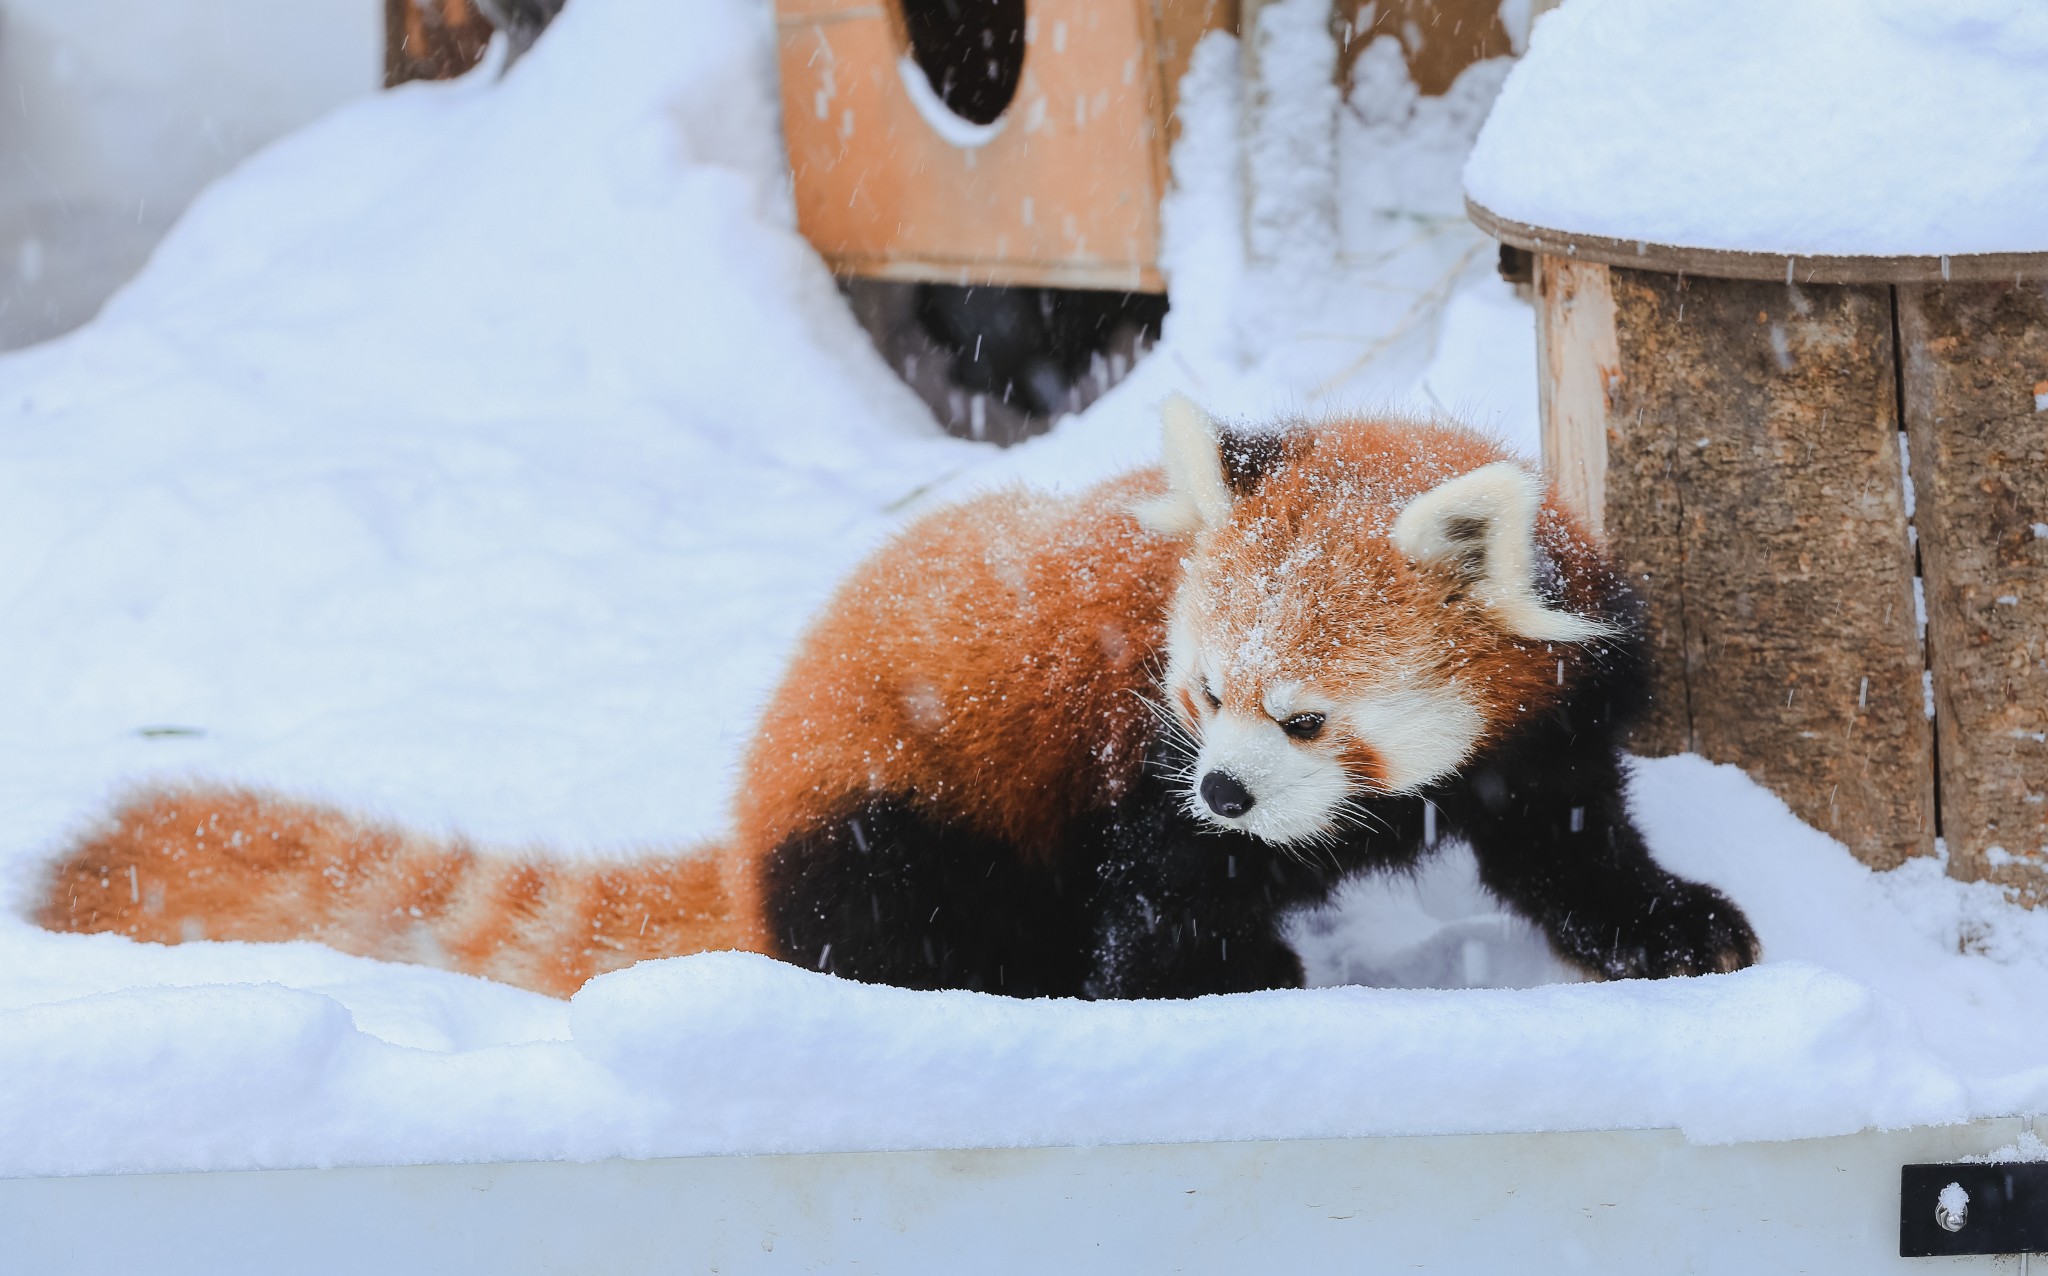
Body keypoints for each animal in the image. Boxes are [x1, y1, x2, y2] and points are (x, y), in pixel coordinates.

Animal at [32, 399, 1761, 999]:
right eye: (1202, 694)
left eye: (1305, 719)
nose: (1225, 789)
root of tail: (745, 833)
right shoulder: (1124, 763)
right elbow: (1157, 901)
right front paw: (1225, 985)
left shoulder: (1543, 732)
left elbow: (1570, 850)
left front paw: (1677, 927)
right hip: (883, 813)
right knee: (908, 923)